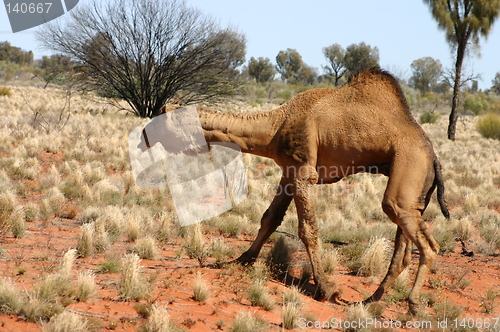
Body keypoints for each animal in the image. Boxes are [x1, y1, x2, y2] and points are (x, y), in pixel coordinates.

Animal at [140, 67, 450, 314]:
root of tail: (434, 155)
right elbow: (270, 217)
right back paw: (369, 299)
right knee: (403, 248)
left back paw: (412, 304)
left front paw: (324, 289)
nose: (143, 135)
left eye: (161, 120)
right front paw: (242, 259)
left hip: (409, 167)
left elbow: (308, 230)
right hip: (413, 189)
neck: (275, 126)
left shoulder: (303, 171)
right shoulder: (288, 171)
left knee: (426, 243)